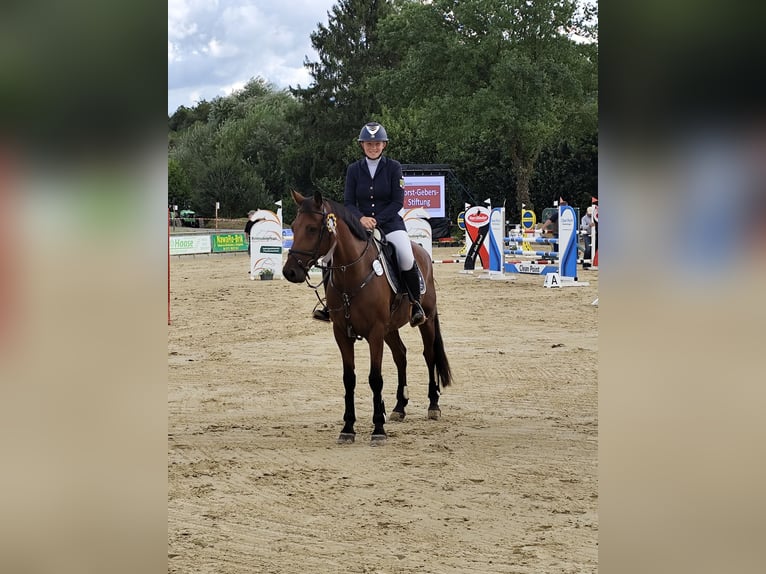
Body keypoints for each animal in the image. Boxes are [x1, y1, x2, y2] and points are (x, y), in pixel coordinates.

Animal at [282, 191, 452, 448]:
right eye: (293, 227)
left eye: (312, 229)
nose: (290, 272)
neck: (353, 274)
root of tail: (421, 251)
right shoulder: (342, 333)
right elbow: (349, 379)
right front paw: (348, 428)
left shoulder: (375, 332)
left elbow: (375, 379)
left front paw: (378, 429)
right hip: (390, 329)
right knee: (401, 355)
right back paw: (399, 407)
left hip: (427, 320)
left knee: (429, 354)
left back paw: (433, 405)